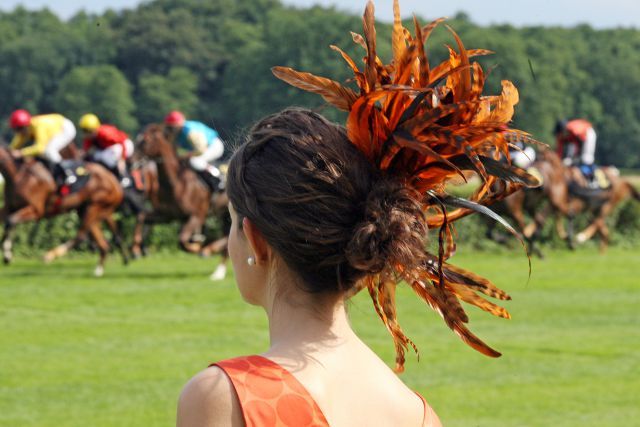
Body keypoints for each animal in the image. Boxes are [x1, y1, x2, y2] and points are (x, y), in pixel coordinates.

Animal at [0, 145, 126, 276]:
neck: (18, 174)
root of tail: (115, 182)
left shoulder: (36, 210)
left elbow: (10, 221)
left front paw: (7, 255)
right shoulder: (9, 207)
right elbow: (8, 221)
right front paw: (7, 255)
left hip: (94, 206)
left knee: (81, 236)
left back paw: (50, 255)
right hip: (86, 210)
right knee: (102, 243)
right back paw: (98, 270)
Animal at [132, 123, 230, 280]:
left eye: (145, 141)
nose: (131, 161)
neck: (176, 183)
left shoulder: (197, 215)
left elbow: (182, 241)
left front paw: (197, 245)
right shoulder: (167, 215)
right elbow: (141, 217)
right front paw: (135, 249)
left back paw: (208, 251)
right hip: (224, 214)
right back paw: (218, 272)